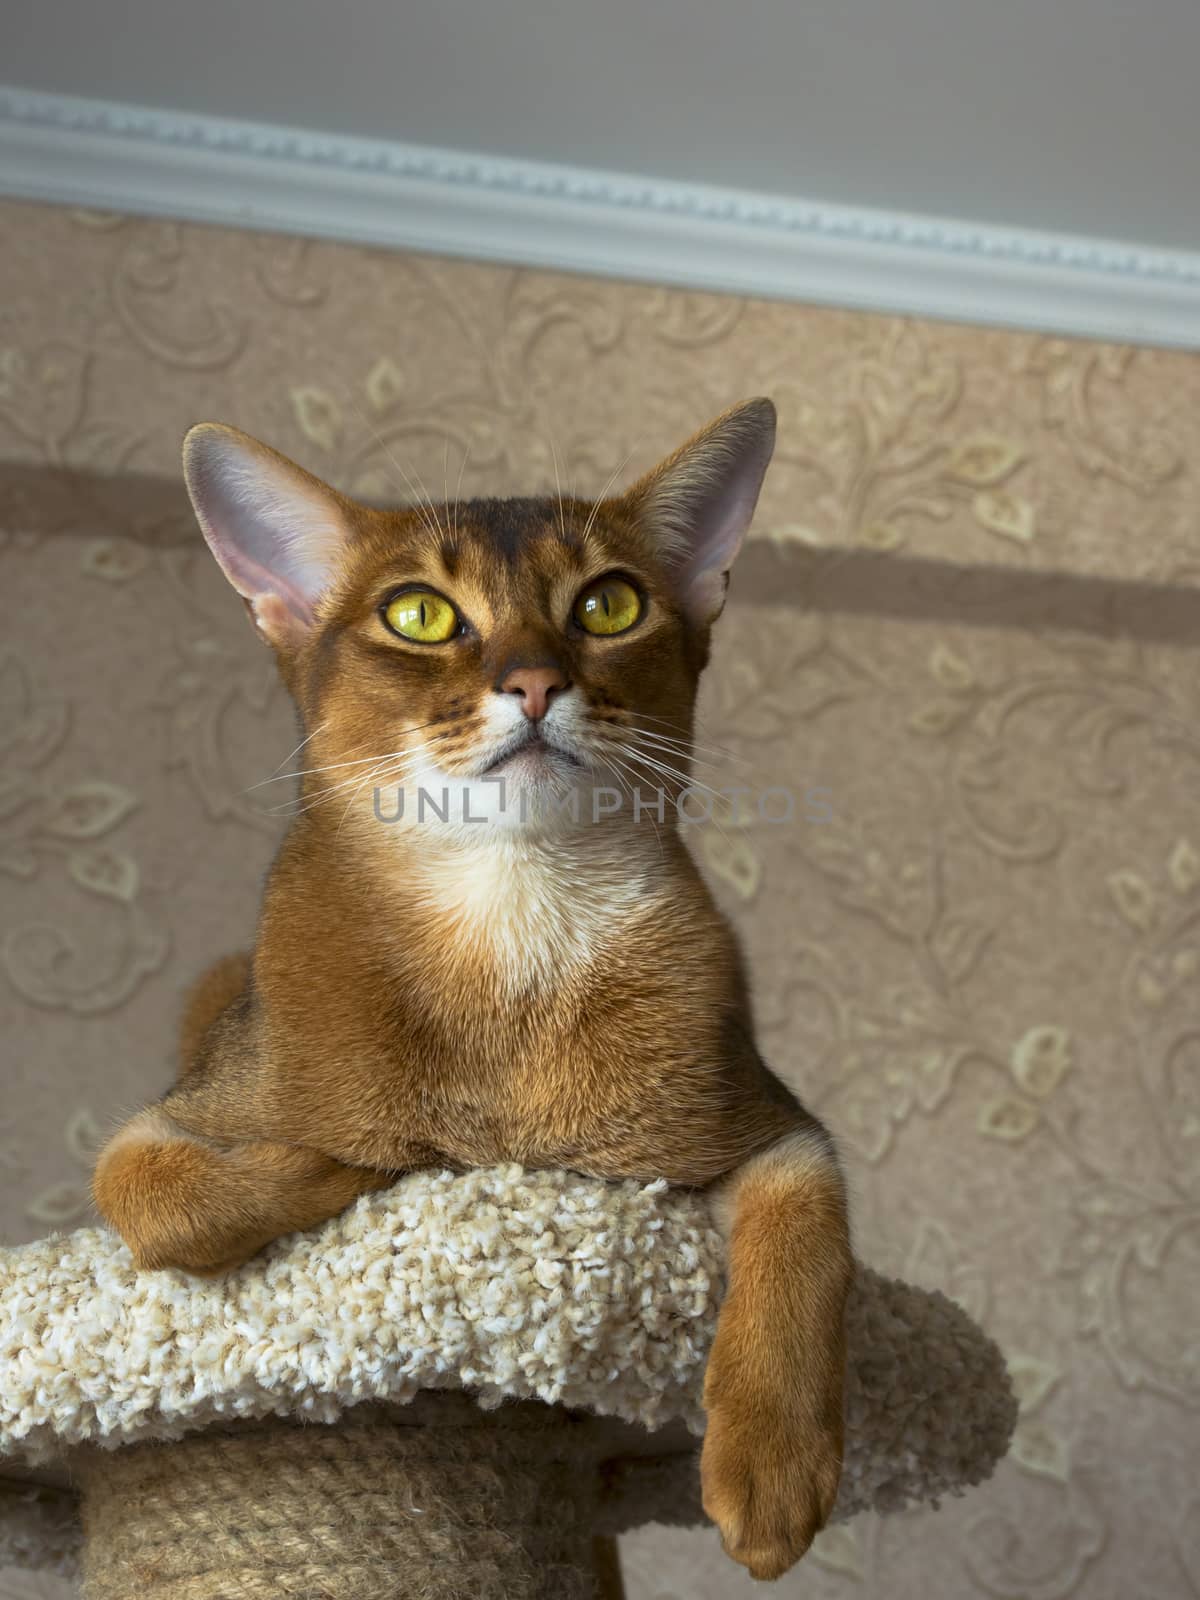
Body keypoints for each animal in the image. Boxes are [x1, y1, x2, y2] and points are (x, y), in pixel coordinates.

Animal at [91, 396, 857, 1574]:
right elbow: (157, 1198)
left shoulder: (767, 1127)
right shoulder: (176, 1115)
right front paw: (353, 1167)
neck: (508, 929)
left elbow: (804, 1233)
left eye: (609, 602)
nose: (536, 683)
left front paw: (772, 1473)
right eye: (418, 613)